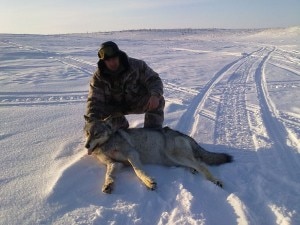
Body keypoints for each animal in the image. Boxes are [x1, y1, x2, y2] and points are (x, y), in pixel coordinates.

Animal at [84, 116, 232, 193]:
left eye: (96, 134)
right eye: (87, 133)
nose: (86, 146)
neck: (107, 144)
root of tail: (182, 134)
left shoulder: (132, 154)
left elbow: (138, 171)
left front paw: (149, 182)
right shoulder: (114, 163)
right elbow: (108, 175)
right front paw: (108, 184)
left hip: (175, 155)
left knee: (201, 164)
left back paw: (216, 181)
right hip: (172, 160)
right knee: (195, 163)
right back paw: (193, 170)